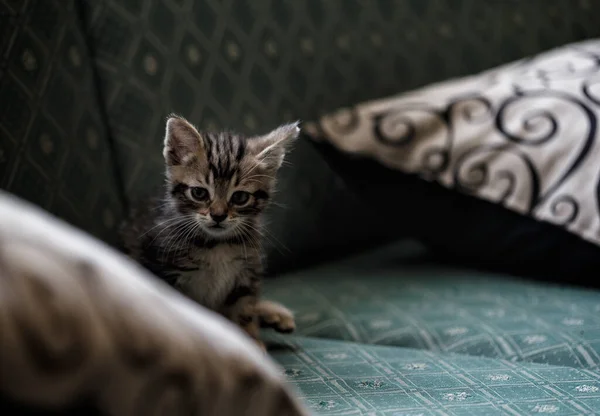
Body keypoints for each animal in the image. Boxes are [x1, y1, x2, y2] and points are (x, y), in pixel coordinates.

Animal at [120, 115, 298, 350]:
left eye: (240, 197)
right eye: (199, 193)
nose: (218, 215)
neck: (216, 244)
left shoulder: (246, 271)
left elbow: (244, 308)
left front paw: (251, 340)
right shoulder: (163, 271)